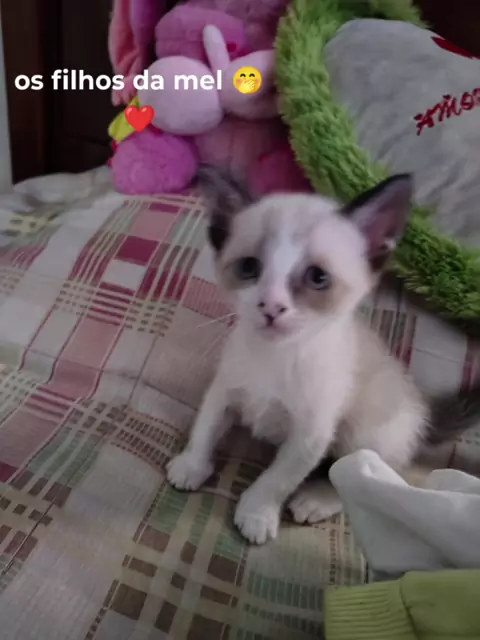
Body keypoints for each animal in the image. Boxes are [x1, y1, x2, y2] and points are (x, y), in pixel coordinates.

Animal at [167, 165, 480, 545]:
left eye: (317, 277)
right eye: (249, 267)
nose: (271, 306)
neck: (276, 357)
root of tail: (424, 413)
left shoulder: (312, 433)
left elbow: (278, 478)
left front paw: (257, 513)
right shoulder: (224, 390)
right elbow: (206, 429)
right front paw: (191, 466)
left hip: (365, 430)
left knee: (369, 472)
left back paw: (315, 500)